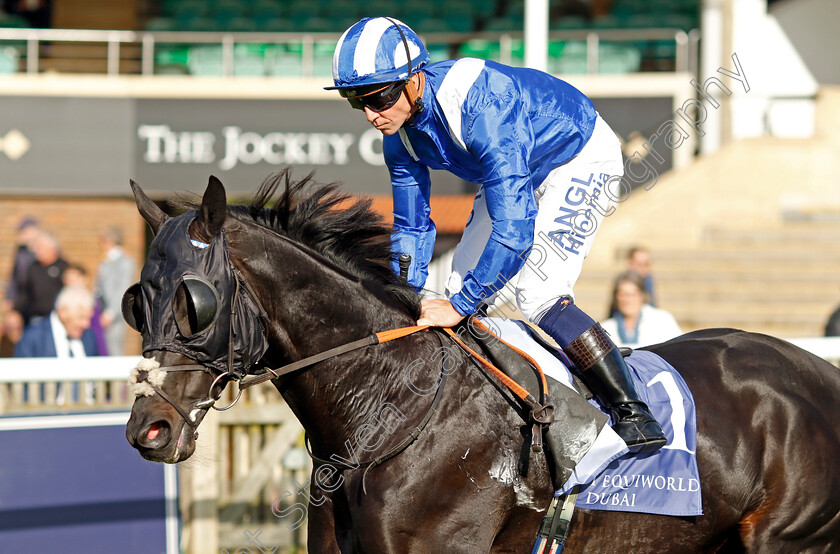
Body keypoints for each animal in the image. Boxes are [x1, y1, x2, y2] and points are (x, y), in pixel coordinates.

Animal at [124, 170, 840, 548]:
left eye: (194, 302)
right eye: (137, 300)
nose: (146, 429)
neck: (395, 408)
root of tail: (819, 373)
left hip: (788, 537)